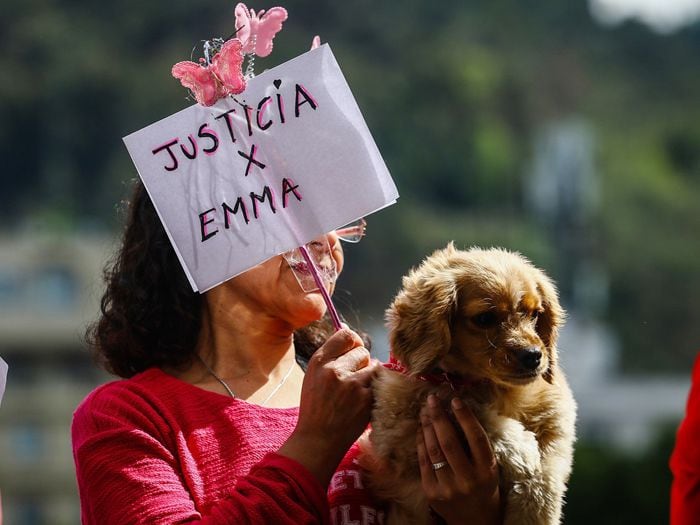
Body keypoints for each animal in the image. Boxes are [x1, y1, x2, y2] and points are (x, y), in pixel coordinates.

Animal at [360, 245, 576, 524]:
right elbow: (465, 407)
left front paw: (532, 511)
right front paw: (521, 448)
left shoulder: (557, 425)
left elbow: (546, 477)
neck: (493, 388)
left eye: (535, 314)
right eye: (484, 318)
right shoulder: (395, 431)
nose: (533, 356)